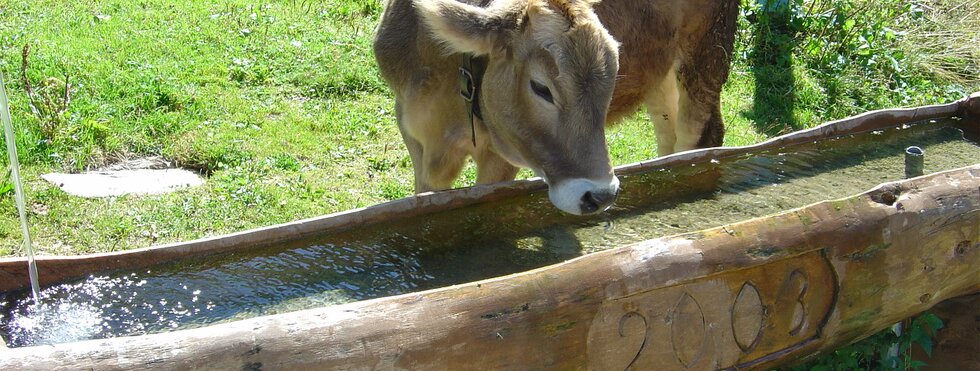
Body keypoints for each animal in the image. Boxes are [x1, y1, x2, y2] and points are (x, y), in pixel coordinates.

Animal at [374, 0, 736, 215]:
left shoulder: (500, 155)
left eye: (612, 76)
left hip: (705, 52)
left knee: (700, 134)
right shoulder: (413, 131)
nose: (600, 196)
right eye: (541, 87)